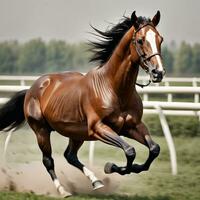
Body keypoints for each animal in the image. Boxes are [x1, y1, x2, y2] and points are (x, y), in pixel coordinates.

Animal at [0, 10, 165, 197]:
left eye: (160, 39)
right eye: (140, 40)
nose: (158, 73)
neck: (114, 88)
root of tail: (32, 89)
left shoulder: (132, 126)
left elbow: (153, 149)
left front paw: (125, 168)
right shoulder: (98, 128)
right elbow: (130, 151)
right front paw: (111, 167)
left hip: (76, 134)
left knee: (70, 156)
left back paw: (96, 181)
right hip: (41, 131)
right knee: (48, 160)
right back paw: (63, 190)